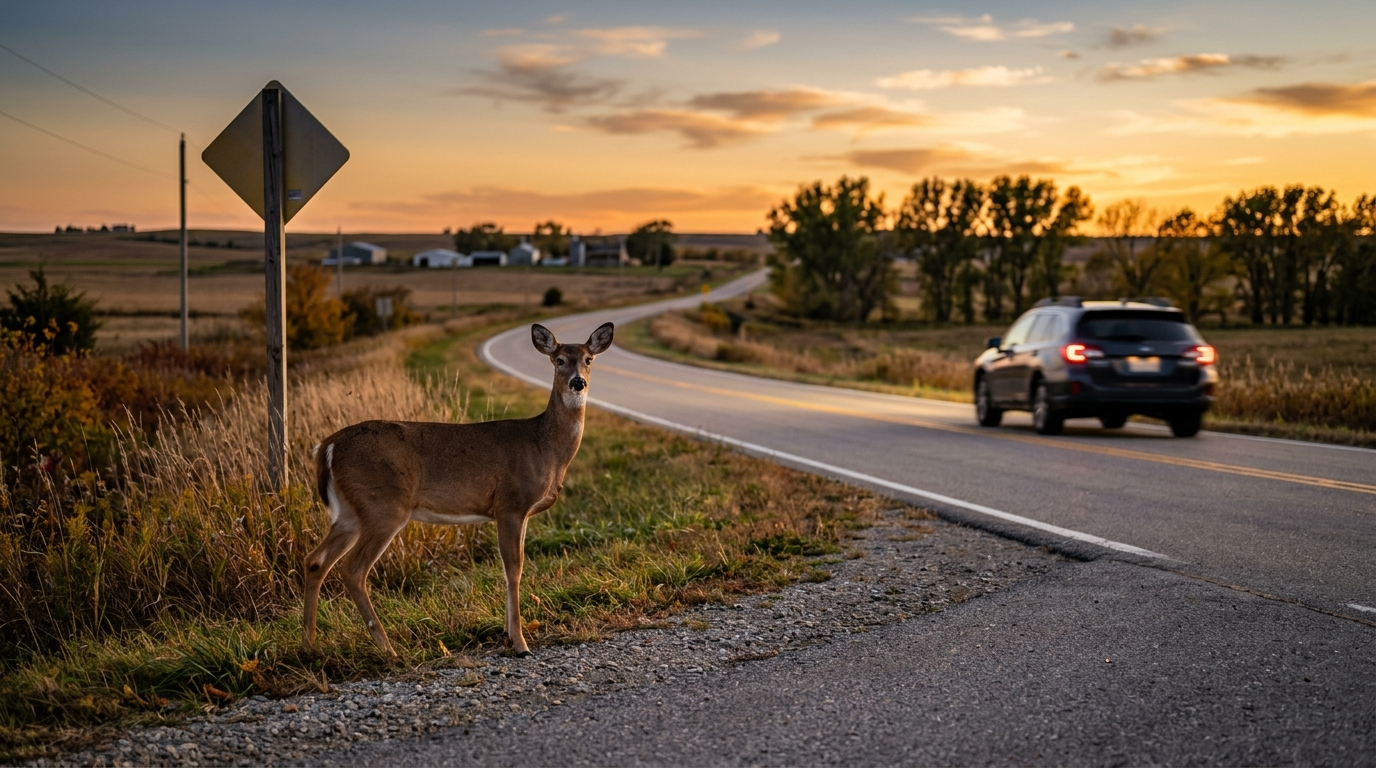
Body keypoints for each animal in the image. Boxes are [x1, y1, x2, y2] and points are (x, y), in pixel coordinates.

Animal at [302, 321, 614, 658]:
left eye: (588, 359)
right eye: (559, 360)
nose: (577, 382)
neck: (545, 446)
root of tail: (327, 446)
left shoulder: (522, 513)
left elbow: (513, 567)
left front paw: (509, 634)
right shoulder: (510, 504)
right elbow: (513, 569)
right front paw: (519, 642)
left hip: (349, 512)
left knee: (316, 561)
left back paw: (309, 643)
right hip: (383, 506)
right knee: (353, 570)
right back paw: (388, 649)